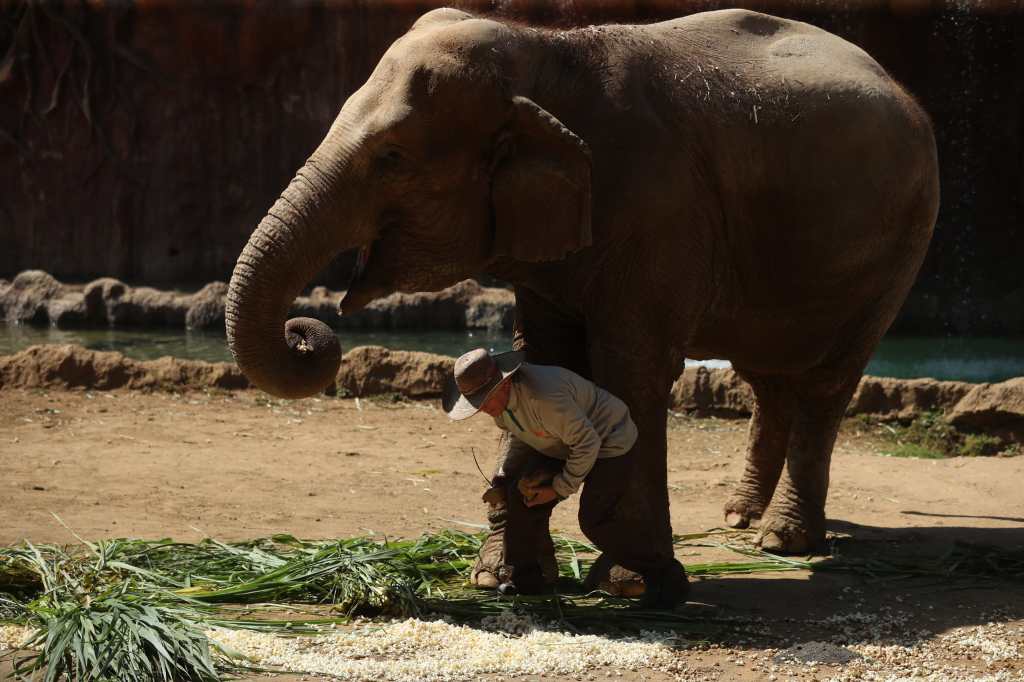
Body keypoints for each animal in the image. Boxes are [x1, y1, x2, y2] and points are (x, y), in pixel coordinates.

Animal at [224, 5, 937, 577]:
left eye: (392, 159)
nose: (307, 331)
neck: (544, 51)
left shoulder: (660, 209)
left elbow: (631, 364)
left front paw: (638, 571)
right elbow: (545, 358)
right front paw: (506, 577)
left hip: (901, 241)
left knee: (826, 380)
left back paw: (782, 542)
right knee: (766, 373)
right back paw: (739, 518)